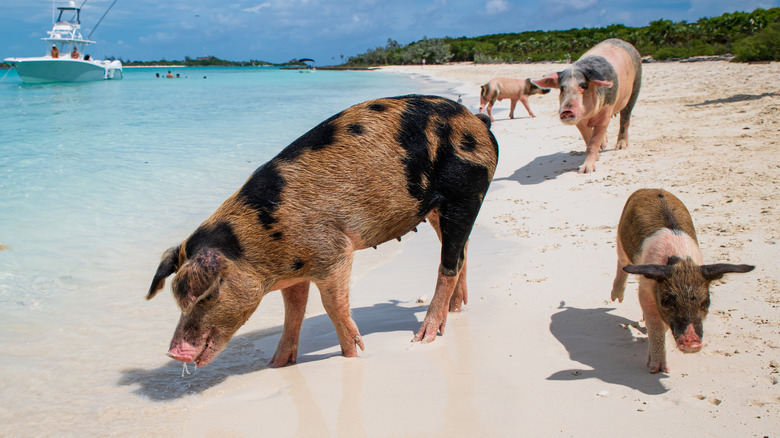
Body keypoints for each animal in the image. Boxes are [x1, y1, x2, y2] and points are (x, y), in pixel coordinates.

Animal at [147, 94, 500, 368]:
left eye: (206, 294)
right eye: (177, 298)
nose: (174, 352)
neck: (261, 245)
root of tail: (477, 121)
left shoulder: (334, 253)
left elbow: (333, 306)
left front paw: (353, 355)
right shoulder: (295, 272)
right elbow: (293, 311)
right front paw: (276, 364)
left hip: (467, 191)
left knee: (449, 264)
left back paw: (424, 337)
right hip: (439, 209)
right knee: (462, 251)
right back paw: (456, 310)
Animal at [532, 39, 644, 173]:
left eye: (584, 85)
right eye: (562, 88)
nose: (567, 110)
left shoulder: (606, 113)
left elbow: (593, 142)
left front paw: (585, 170)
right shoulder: (579, 121)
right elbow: (588, 138)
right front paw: (597, 155)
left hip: (635, 87)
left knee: (625, 118)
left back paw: (620, 147)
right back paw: (604, 145)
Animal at [612, 188, 752, 372]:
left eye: (705, 302)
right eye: (667, 301)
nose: (692, 344)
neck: (681, 261)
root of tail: (651, 189)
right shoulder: (645, 289)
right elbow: (655, 326)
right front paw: (656, 369)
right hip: (620, 238)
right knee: (622, 262)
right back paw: (616, 299)